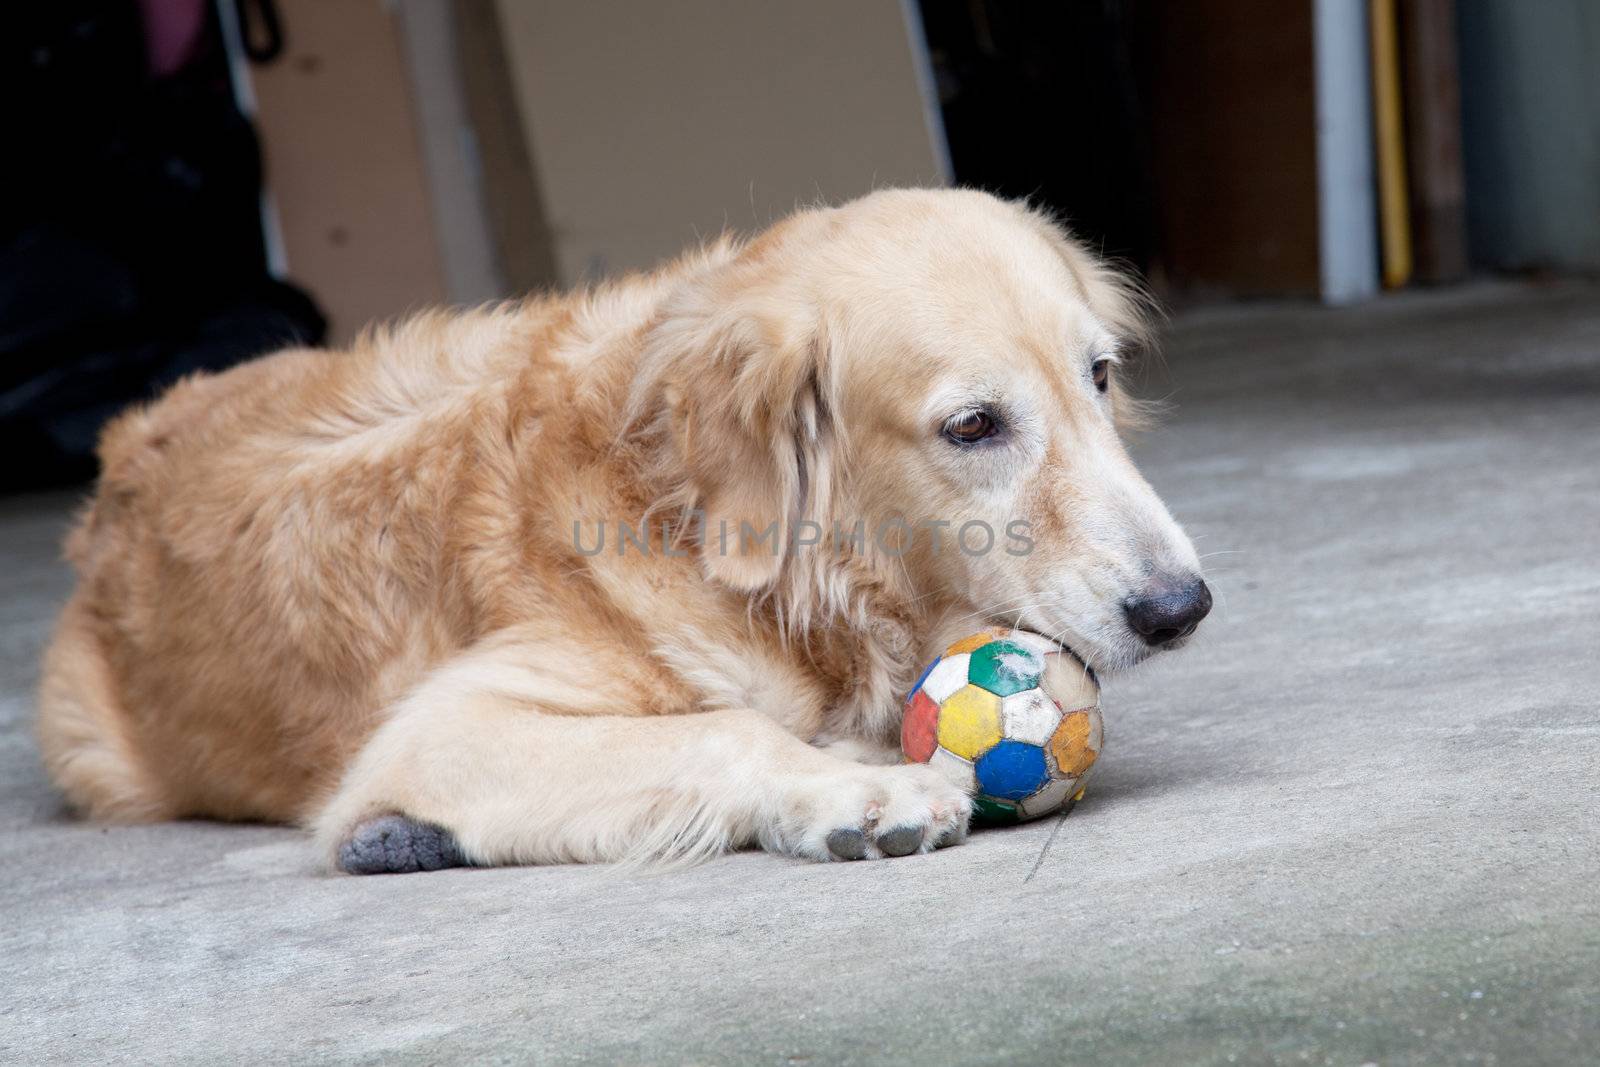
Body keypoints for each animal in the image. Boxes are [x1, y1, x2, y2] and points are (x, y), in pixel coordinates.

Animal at [37, 189, 1203, 876]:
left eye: (1099, 376)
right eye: (972, 425)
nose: (1181, 607)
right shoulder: (440, 727)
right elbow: (724, 728)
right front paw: (859, 787)